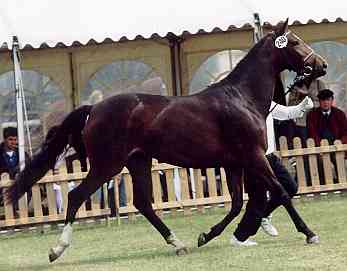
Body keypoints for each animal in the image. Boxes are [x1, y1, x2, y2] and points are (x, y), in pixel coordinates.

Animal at [4, 18, 328, 262]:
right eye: (294, 42)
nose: (322, 65)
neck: (241, 98)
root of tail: (93, 108)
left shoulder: (235, 163)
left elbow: (237, 202)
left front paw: (205, 235)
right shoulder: (254, 156)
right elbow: (281, 192)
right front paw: (310, 233)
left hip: (138, 161)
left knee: (143, 203)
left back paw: (178, 243)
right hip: (107, 165)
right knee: (76, 196)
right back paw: (57, 249)